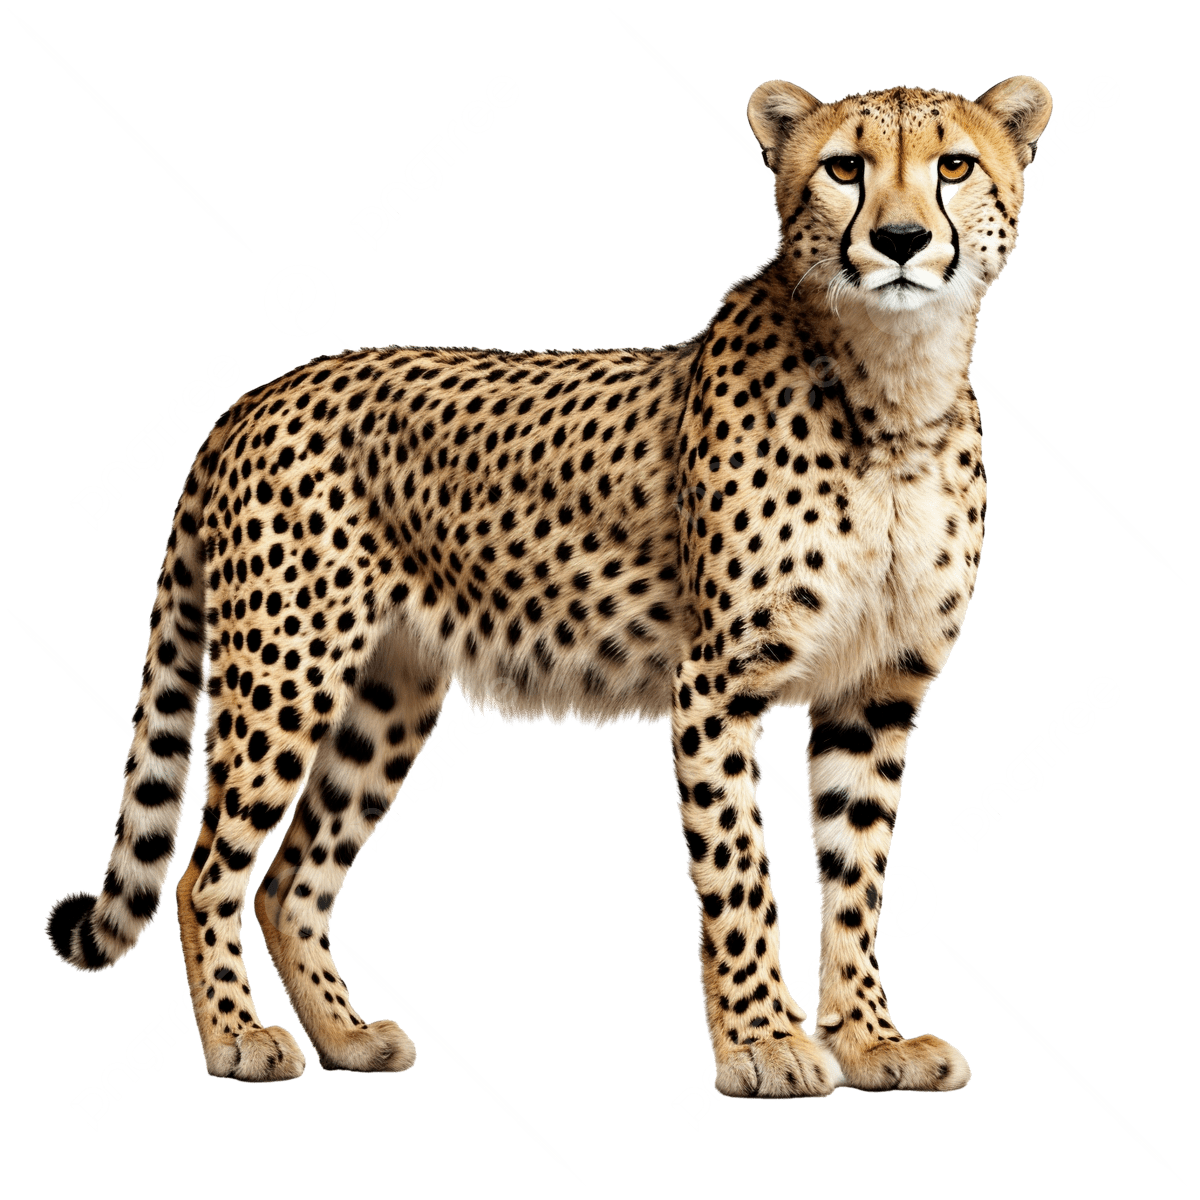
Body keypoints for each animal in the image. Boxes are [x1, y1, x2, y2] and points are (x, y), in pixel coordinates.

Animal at [46, 74, 1053, 1096]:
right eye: (845, 168)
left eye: (954, 166)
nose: (901, 239)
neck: (895, 391)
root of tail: (257, 395)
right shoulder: (716, 686)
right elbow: (740, 875)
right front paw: (764, 1044)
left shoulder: (876, 692)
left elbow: (854, 878)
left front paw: (870, 1042)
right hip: (289, 669)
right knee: (205, 870)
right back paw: (235, 1039)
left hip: (387, 694)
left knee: (292, 877)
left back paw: (347, 1038)